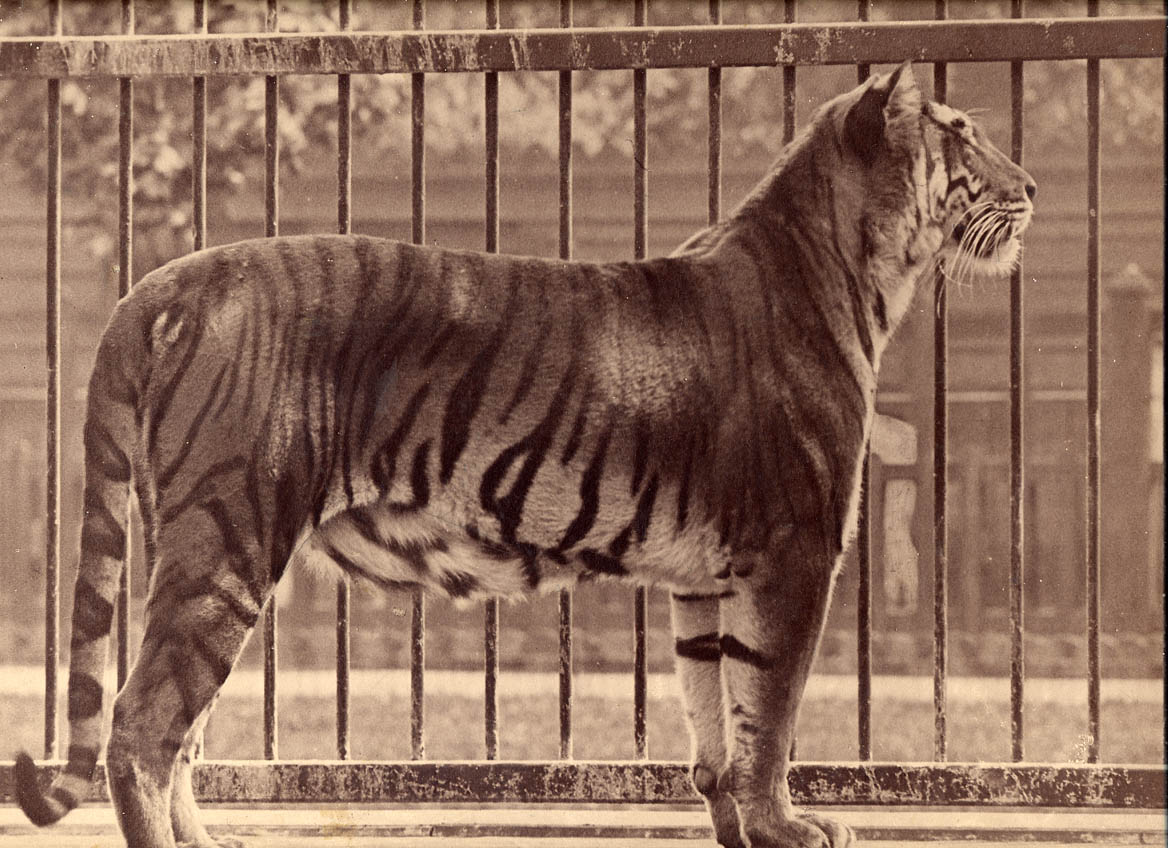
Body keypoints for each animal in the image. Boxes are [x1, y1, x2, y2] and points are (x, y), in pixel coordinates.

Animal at [15, 61, 1034, 848]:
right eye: (964, 137)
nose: (1031, 188)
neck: (861, 274)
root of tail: (163, 281)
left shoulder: (708, 580)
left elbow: (716, 720)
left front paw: (741, 826)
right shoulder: (794, 554)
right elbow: (771, 713)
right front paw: (790, 827)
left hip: (205, 548)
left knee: (180, 731)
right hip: (227, 537)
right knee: (143, 729)